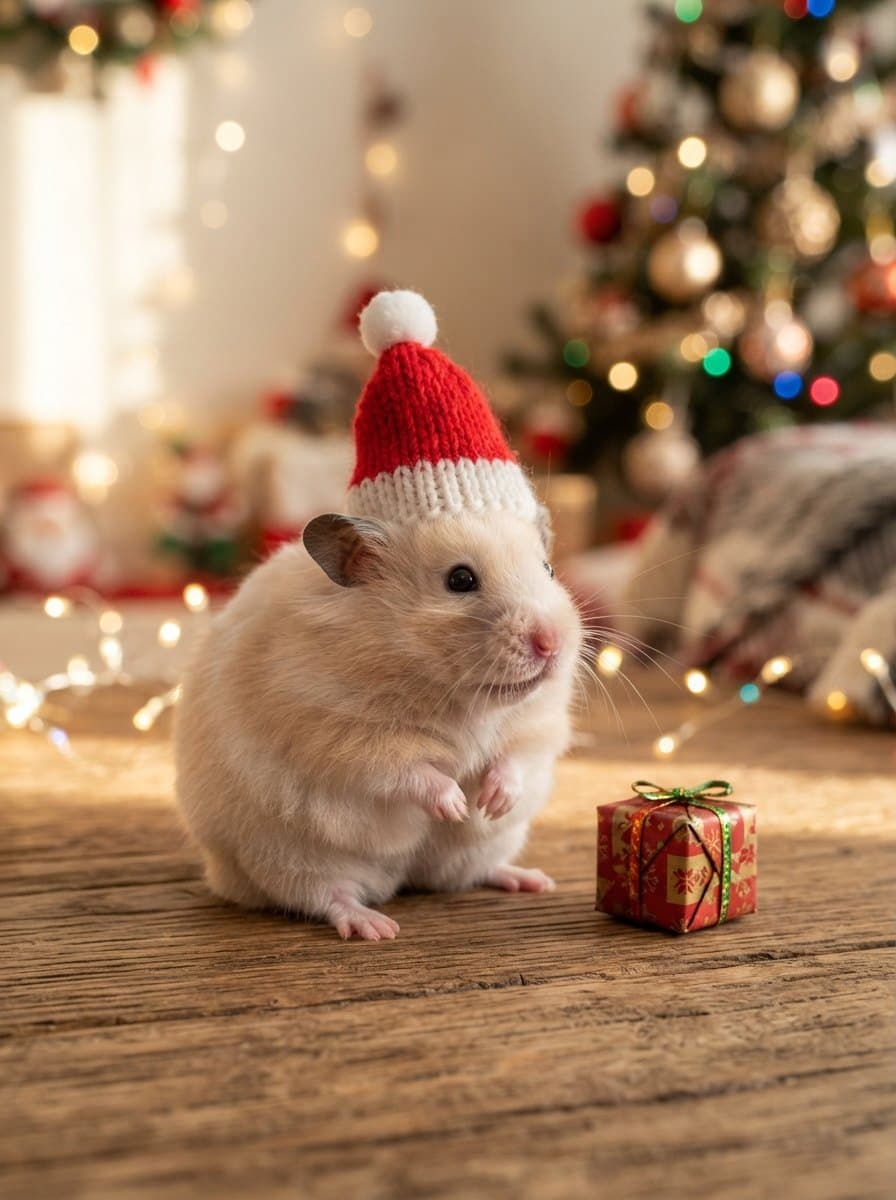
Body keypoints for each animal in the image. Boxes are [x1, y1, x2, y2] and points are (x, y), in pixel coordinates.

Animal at [175, 506, 582, 939]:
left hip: (481, 848)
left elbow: (516, 758)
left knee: (472, 873)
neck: (463, 699)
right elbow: (407, 771)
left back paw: (533, 880)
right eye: (460, 580)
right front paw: (455, 805)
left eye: (548, 569)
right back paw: (376, 927)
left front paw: (492, 804)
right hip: (287, 857)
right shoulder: (342, 735)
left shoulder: (538, 724)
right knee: (324, 897)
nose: (551, 643)